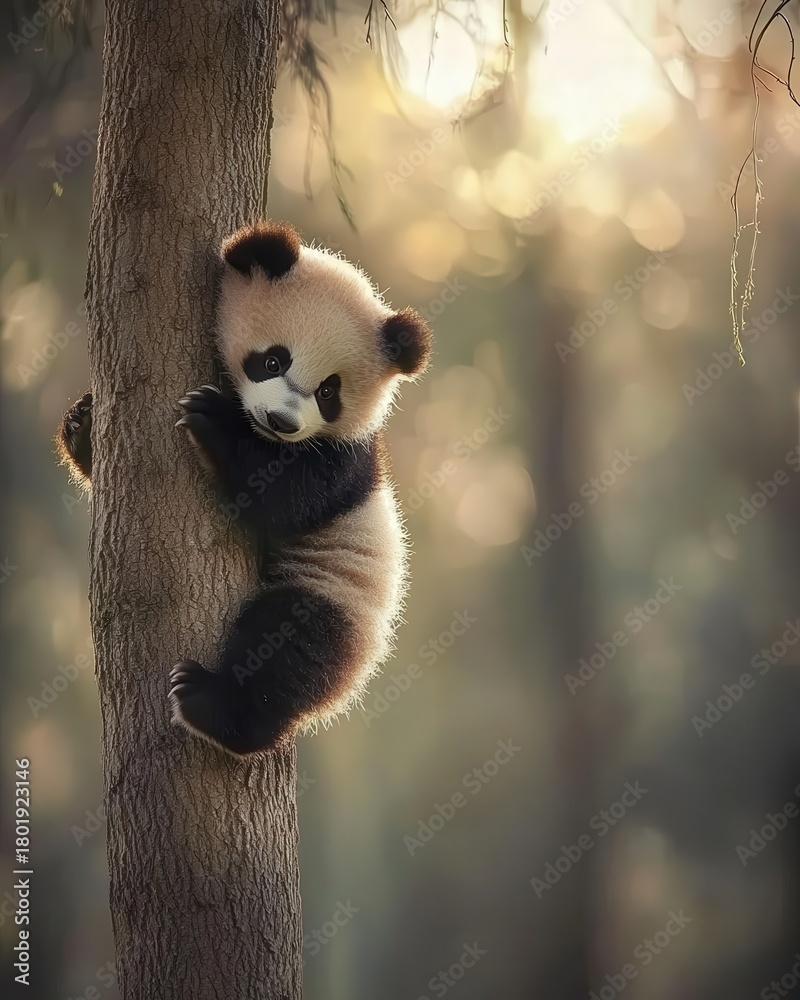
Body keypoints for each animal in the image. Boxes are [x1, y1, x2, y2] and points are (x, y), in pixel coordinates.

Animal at [57, 221, 432, 756]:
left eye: (329, 391)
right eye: (273, 361)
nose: (282, 421)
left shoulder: (345, 460)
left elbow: (283, 498)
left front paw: (214, 422)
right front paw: (82, 424)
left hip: (337, 594)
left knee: (287, 647)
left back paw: (213, 708)